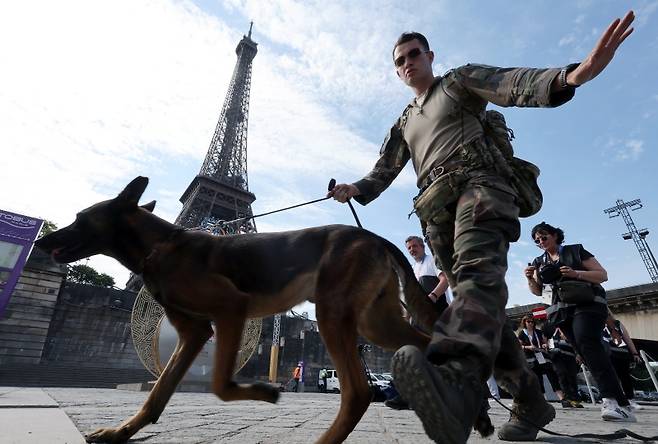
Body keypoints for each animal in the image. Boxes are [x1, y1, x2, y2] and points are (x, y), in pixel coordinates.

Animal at [34, 177, 436, 444]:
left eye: (79, 217)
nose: (40, 241)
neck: (161, 246)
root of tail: (372, 236)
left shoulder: (231, 309)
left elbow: (220, 385)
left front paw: (265, 391)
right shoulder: (194, 333)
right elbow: (159, 391)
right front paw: (122, 431)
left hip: (333, 316)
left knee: (358, 393)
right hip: (375, 323)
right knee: (430, 343)